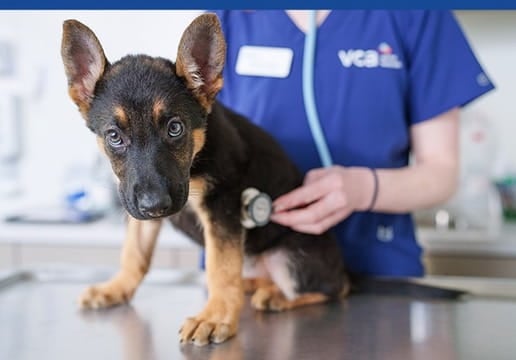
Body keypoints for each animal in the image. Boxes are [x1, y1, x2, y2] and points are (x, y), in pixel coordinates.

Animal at [61, 14, 350, 346]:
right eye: (114, 136)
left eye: (175, 128)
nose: (155, 206)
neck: (195, 164)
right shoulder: (136, 203)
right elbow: (134, 253)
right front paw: (116, 288)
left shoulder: (221, 205)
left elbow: (219, 267)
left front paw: (215, 317)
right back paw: (253, 285)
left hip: (292, 257)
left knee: (332, 288)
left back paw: (277, 296)